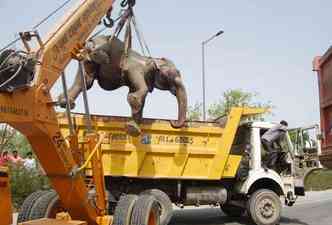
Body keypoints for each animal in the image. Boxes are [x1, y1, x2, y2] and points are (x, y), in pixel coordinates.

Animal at [58, 35, 188, 136]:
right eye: (169, 75)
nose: (172, 122)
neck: (150, 59)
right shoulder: (135, 70)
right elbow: (143, 89)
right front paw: (133, 104)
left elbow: (137, 94)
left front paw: (133, 128)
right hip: (99, 45)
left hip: (87, 61)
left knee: (85, 80)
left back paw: (65, 102)